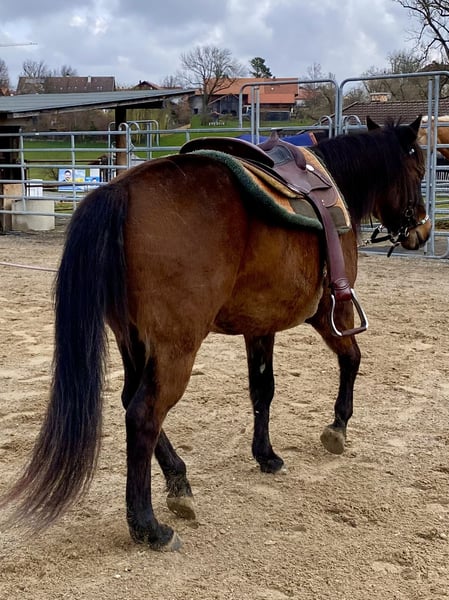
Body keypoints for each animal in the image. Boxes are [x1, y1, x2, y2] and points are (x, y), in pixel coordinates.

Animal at [1, 116, 430, 551]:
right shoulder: (330, 313)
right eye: (418, 170)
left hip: (132, 340)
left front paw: (266, 455)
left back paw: (179, 483)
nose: (422, 231)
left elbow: (262, 390)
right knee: (143, 414)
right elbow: (352, 358)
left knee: (130, 401)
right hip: (176, 348)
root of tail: (121, 190)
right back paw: (148, 525)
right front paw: (337, 428)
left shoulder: (260, 326)